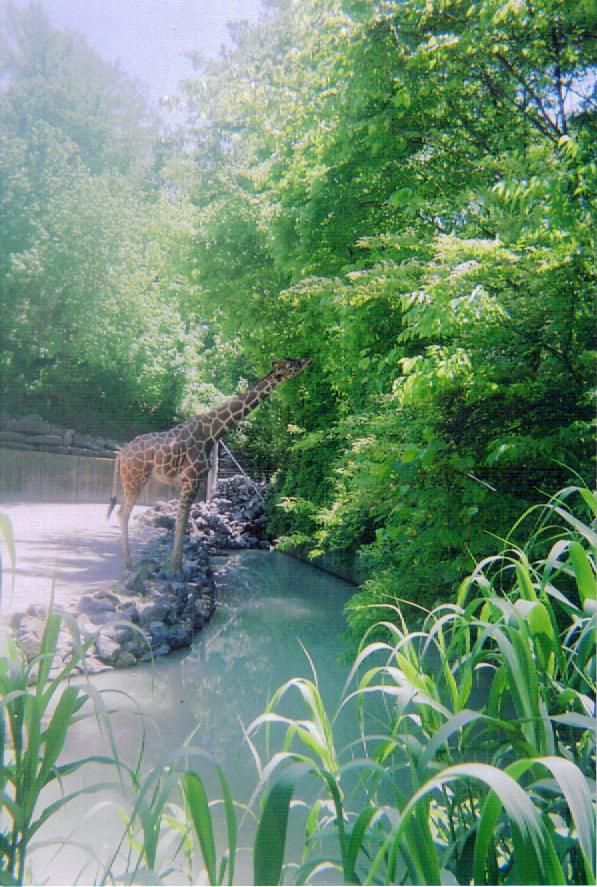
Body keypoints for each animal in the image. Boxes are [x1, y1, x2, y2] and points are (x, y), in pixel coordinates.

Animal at [107, 357, 311, 571]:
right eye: (292, 364)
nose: (307, 359)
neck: (212, 432)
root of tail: (121, 453)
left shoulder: (193, 481)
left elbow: (184, 520)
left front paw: (178, 564)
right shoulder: (191, 479)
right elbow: (181, 521)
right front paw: (176, 567)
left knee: (122, 511)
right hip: (134, 478)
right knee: (123, 512)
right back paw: (129, 563)